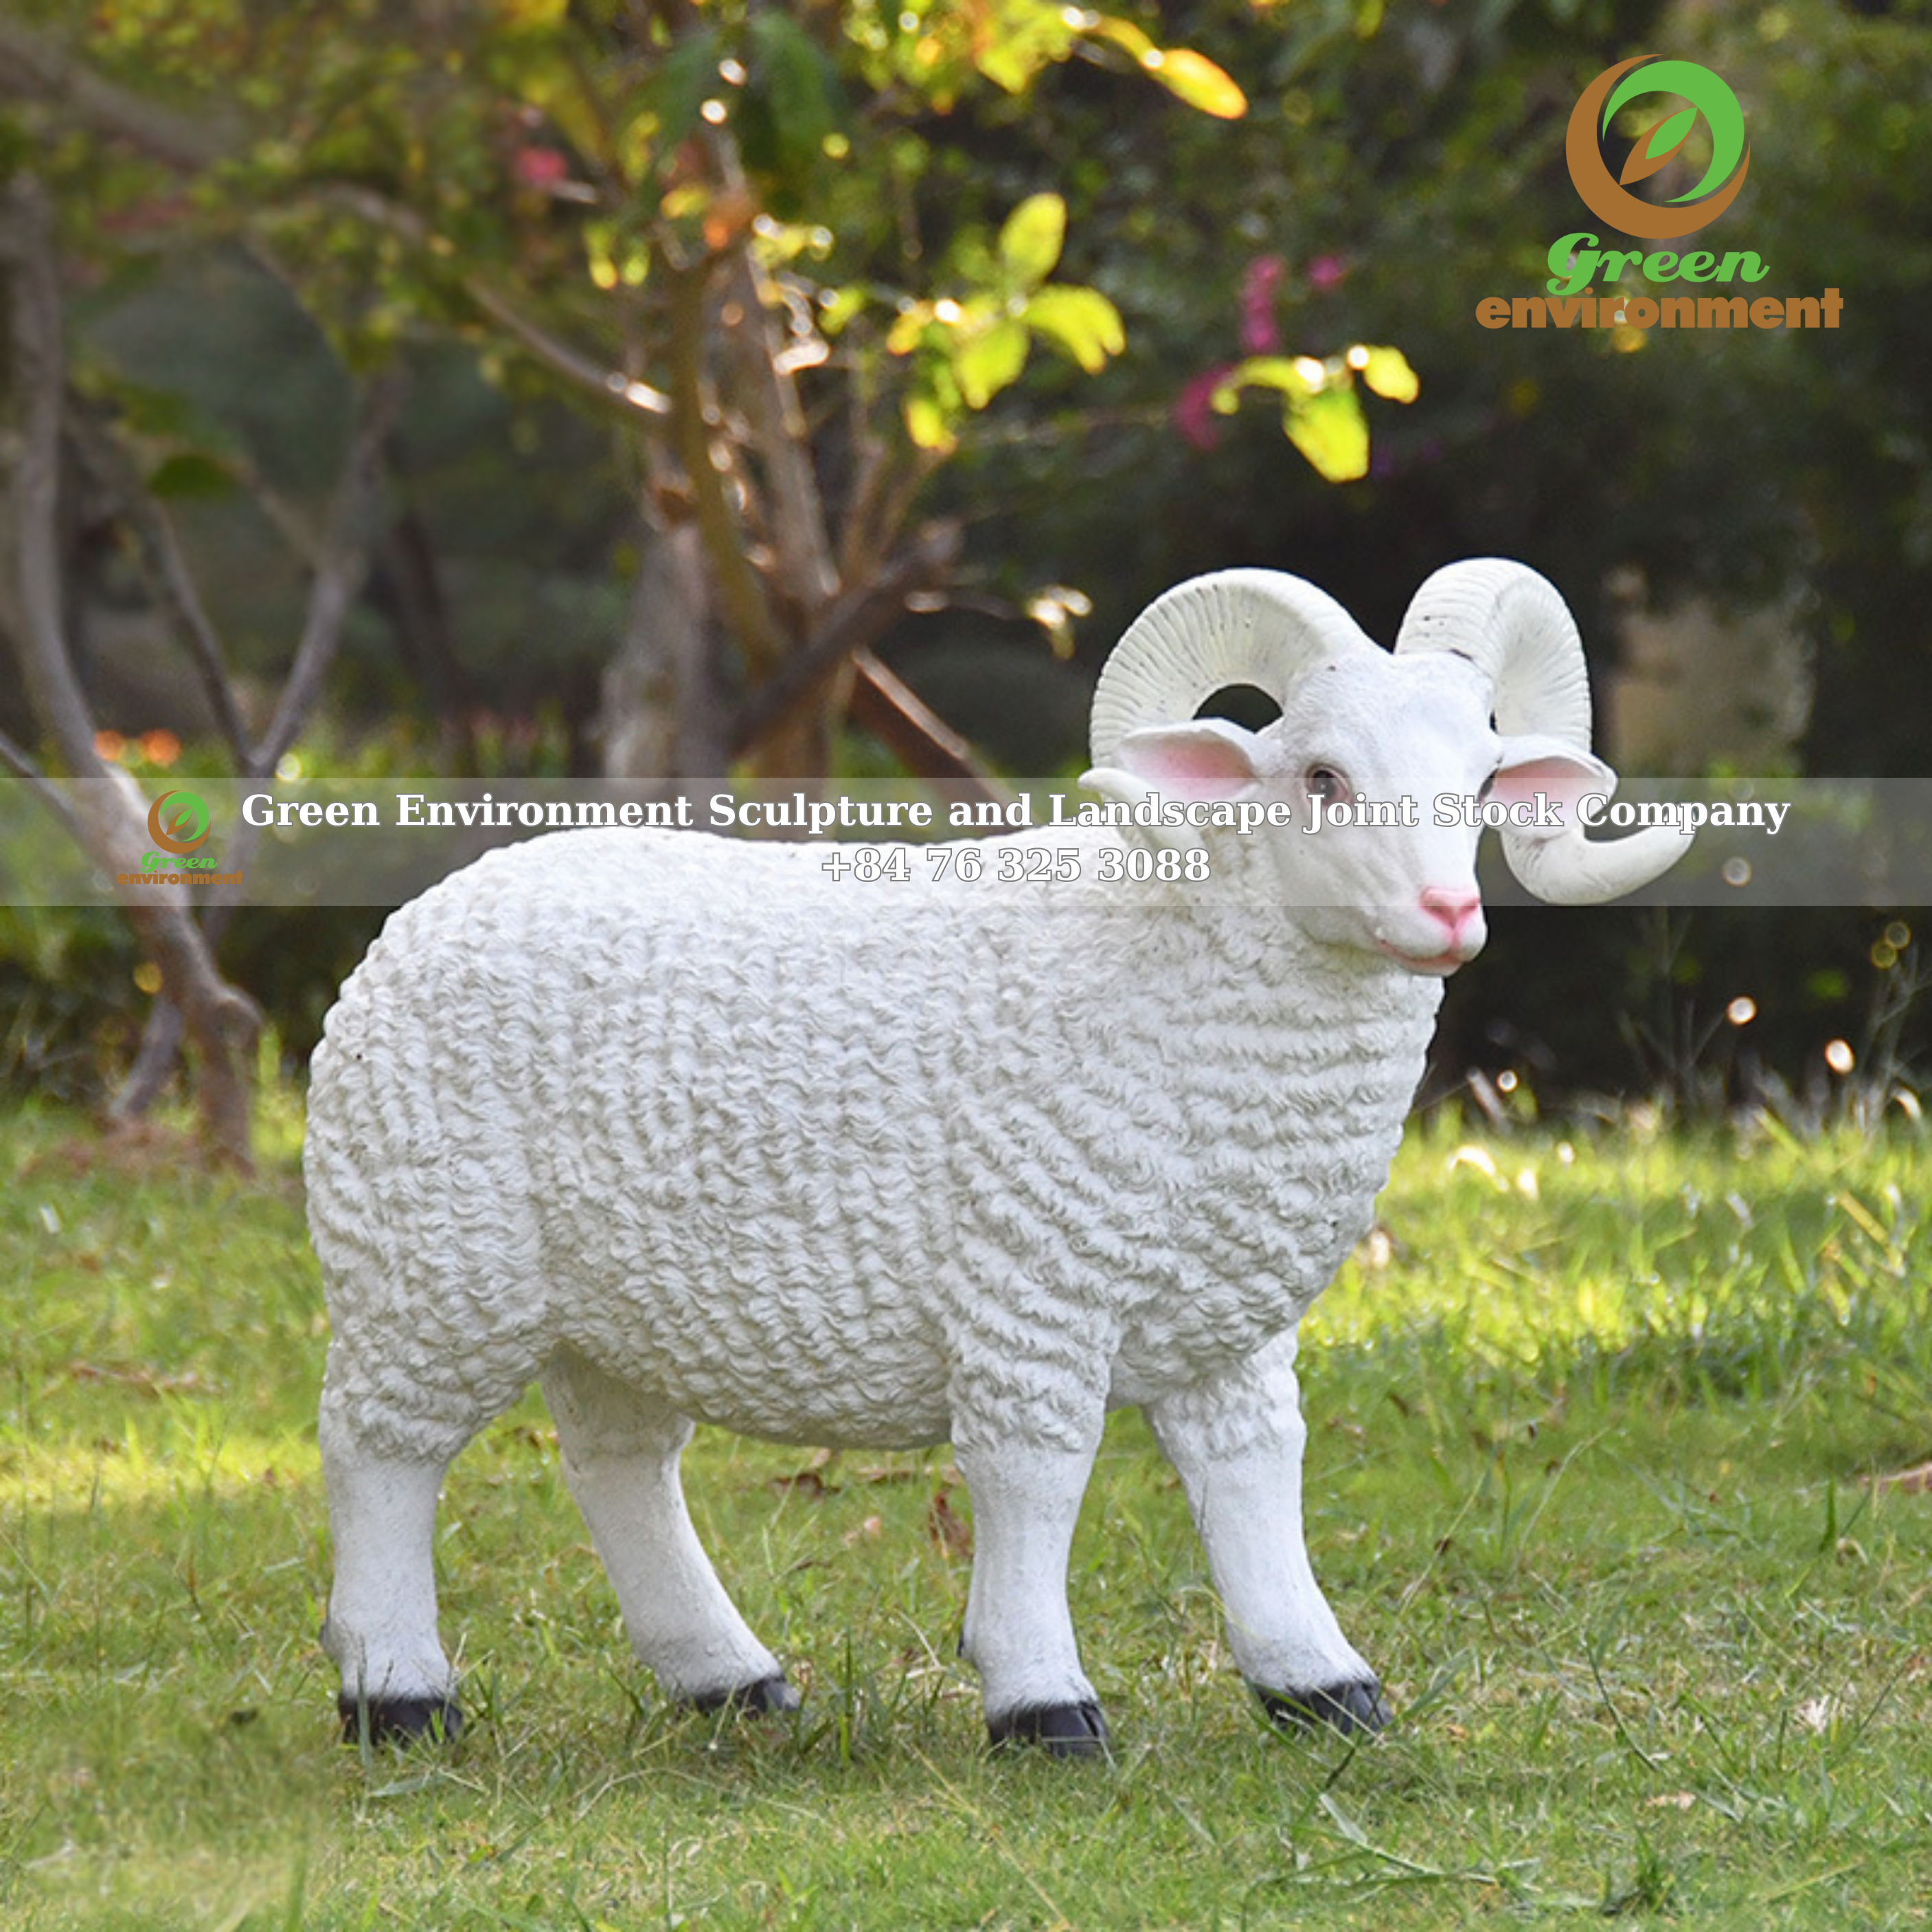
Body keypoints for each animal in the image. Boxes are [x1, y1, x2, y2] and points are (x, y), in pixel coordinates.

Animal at [307, 558, 1690, 1755]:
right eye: (1320, 776)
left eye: (1482, 778)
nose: (1447, 916)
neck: (1176, 966)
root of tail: (413, 923)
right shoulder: (1036, 1286)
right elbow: (1036, 1477)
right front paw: (1043, 1704)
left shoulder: (1226, 1322)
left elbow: (1255, 1473)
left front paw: (1321, 1684)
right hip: (431, 1263)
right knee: (379, 1451)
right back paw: (397, 1694)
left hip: (607, 1309)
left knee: (619, 1468)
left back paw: (733, 1681)